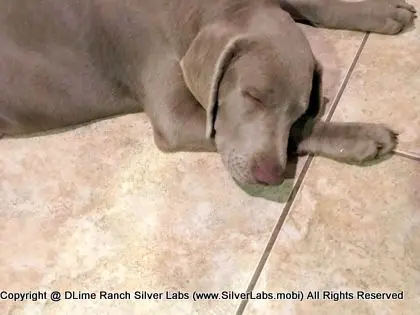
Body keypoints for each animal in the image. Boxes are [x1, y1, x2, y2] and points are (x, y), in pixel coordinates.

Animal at [0, 0, 416, 185]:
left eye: (299, 109)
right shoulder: (176, 116)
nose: (271, 175)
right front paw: (361, 136)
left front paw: (383, 12)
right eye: (252, 96)